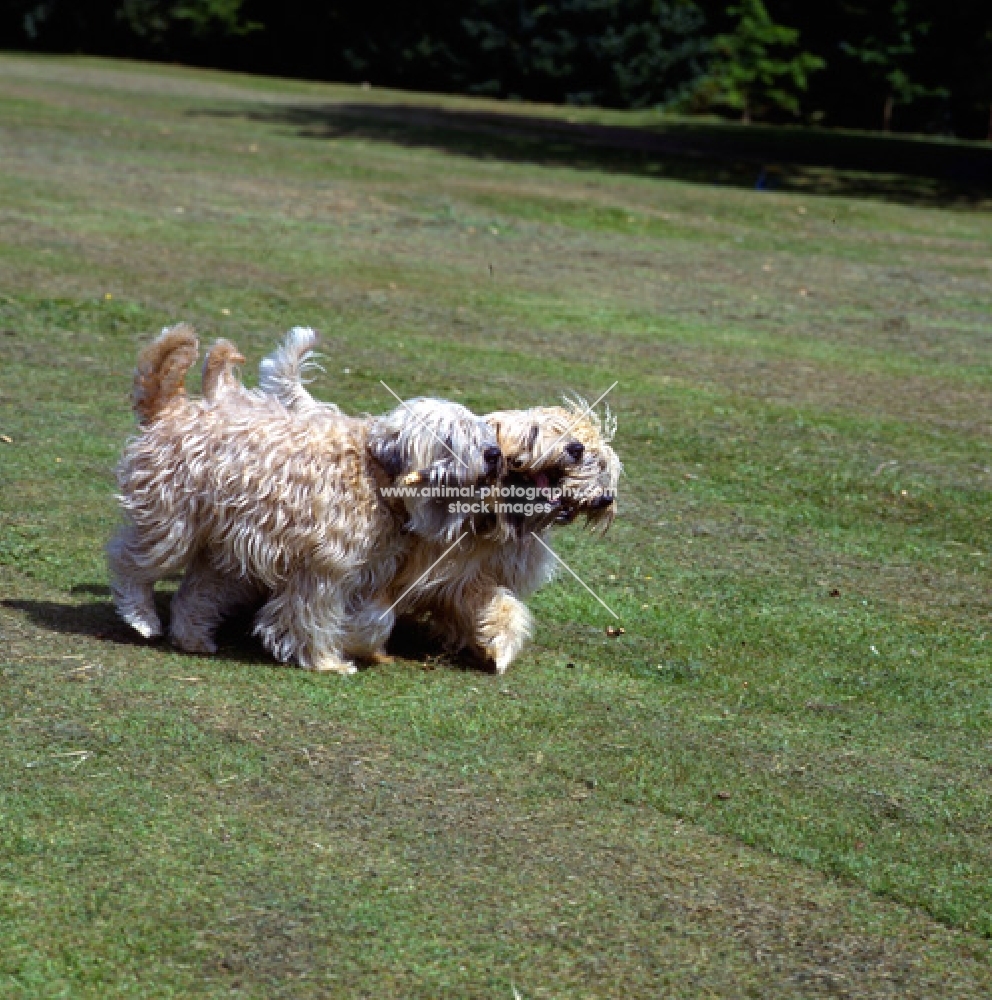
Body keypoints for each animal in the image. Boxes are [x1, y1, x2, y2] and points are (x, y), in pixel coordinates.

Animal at [108, 324, 504, 676]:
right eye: (451, 437)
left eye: (479, 429)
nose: (494, 455)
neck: (375, 474)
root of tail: (171, 410)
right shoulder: (325, 567)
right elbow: (312, 615)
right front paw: (326, 661)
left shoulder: (366, 572)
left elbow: (375, 619)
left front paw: (360, 646)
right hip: (171, 527)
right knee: (128, 561)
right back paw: (141, 617)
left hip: (220, 547)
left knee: (194, 593)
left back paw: (192, 637)